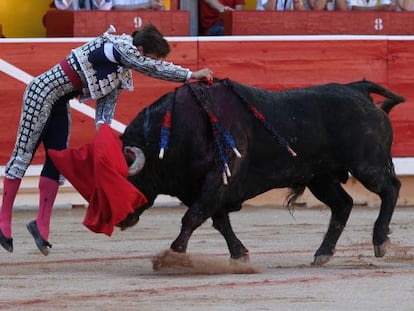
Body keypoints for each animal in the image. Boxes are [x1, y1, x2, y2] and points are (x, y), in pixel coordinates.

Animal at [118, 78, 402, 266]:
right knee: (343, 204)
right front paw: (239, 254)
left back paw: (379, 240)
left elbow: (193, 217)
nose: (120, 220)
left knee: (390, 188)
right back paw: (322, 253)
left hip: (366, 165)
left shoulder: (219, 179)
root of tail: (357, 89)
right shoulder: (202, 187)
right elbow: (218, 221)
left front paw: (173, 256)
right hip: (320, 178)